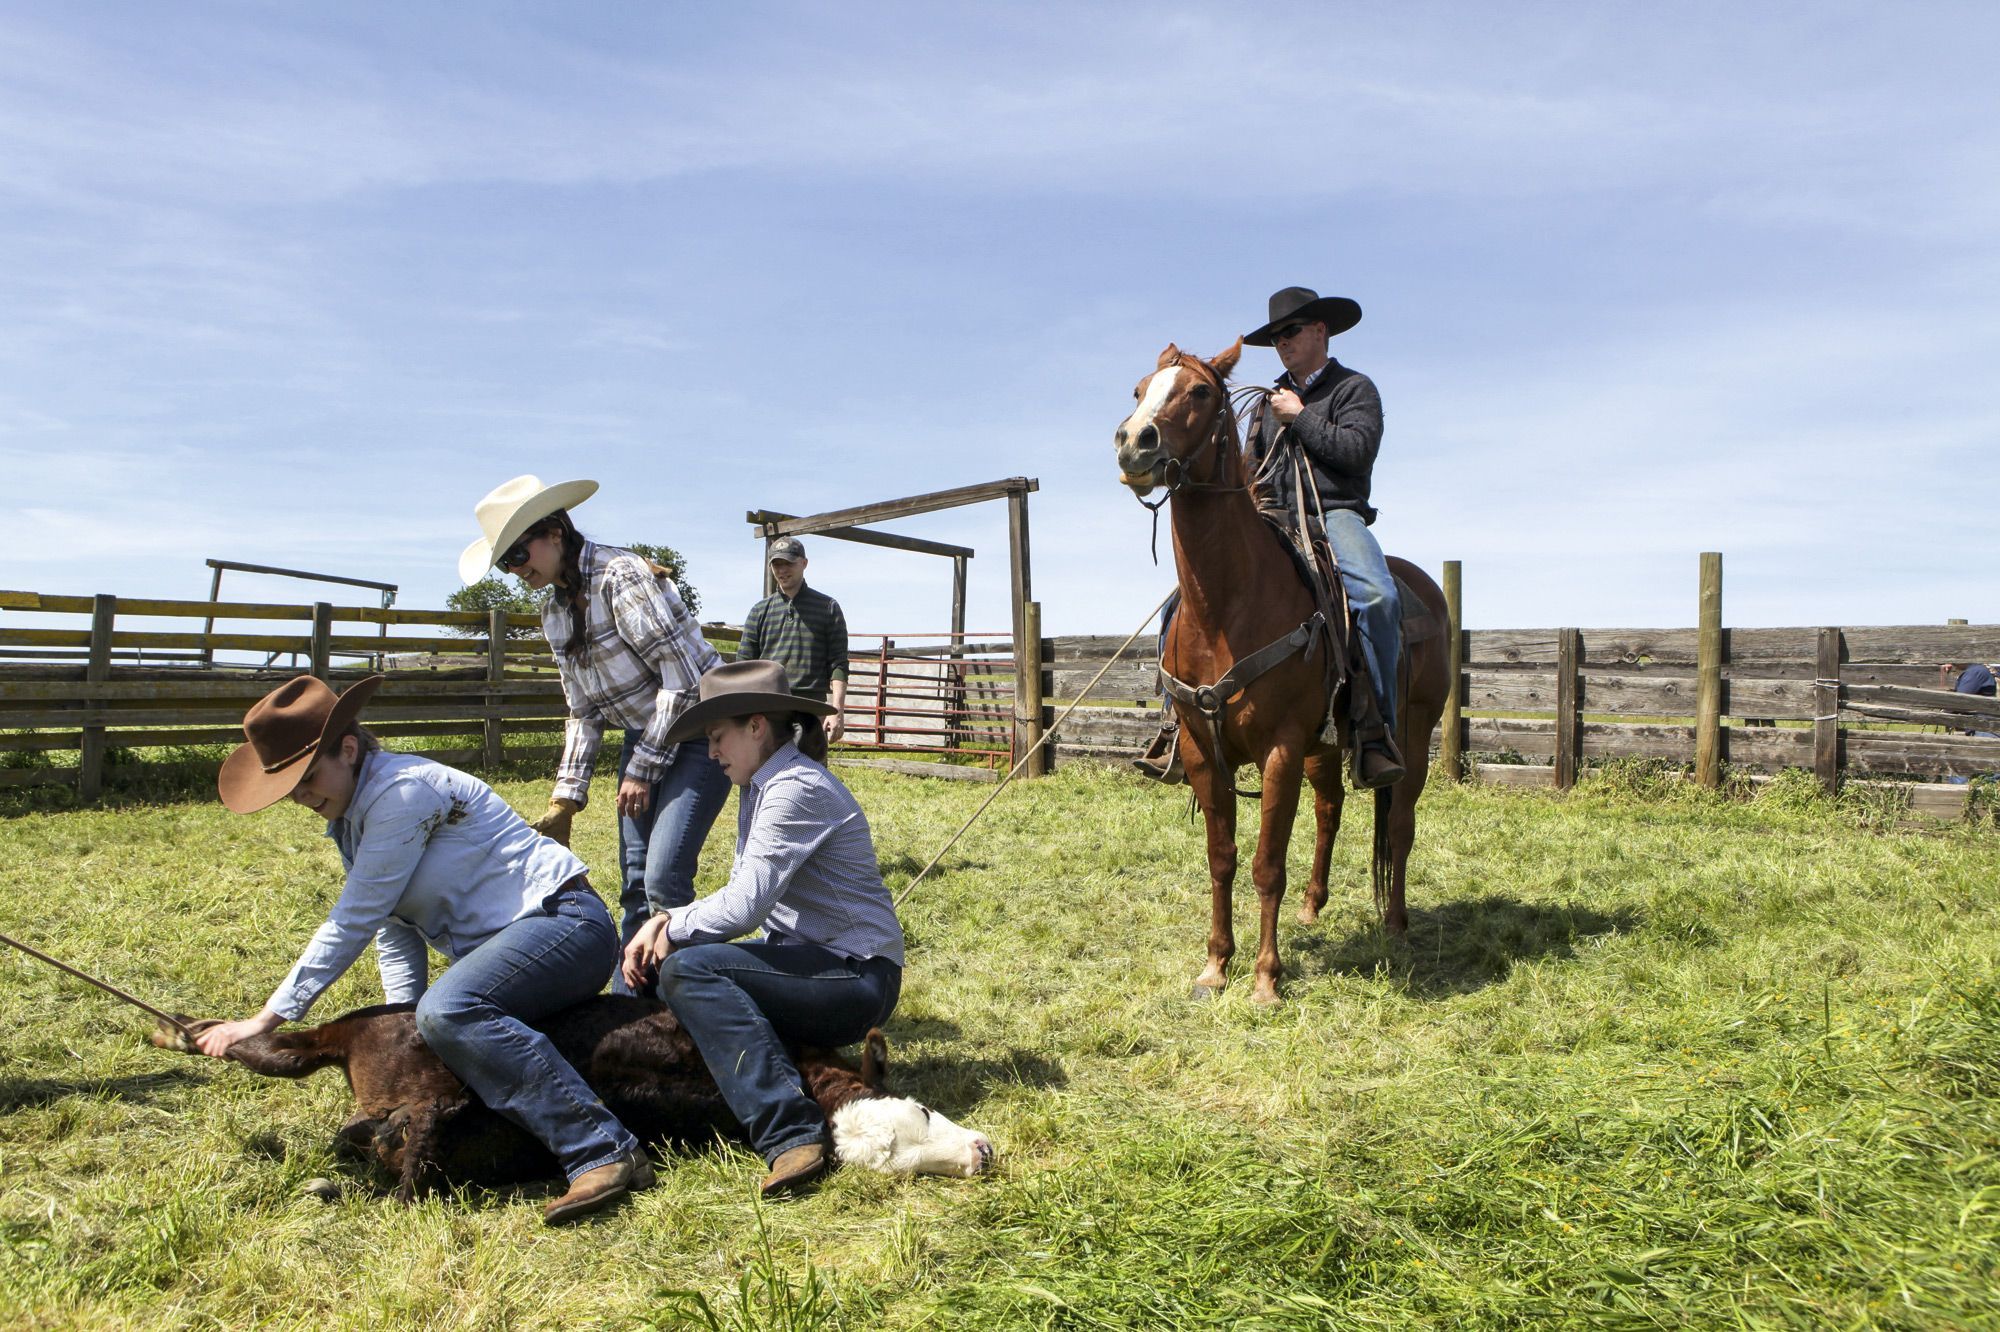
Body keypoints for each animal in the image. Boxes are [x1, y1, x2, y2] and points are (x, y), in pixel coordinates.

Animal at [1120, 338, 1448, 1000]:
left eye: (1200, 391)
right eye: (1140, 389)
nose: (1133, 441)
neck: (1227, 604)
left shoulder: (1281, 748)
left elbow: (1267, 863)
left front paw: (1266, 978)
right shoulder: (1202, 751)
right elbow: (1222, 857)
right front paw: (1216, 966)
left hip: (1413, 733)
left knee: (1400, 823)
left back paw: (1396, 924)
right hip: (1325, 748)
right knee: (1329, 812)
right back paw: (1312, 905)